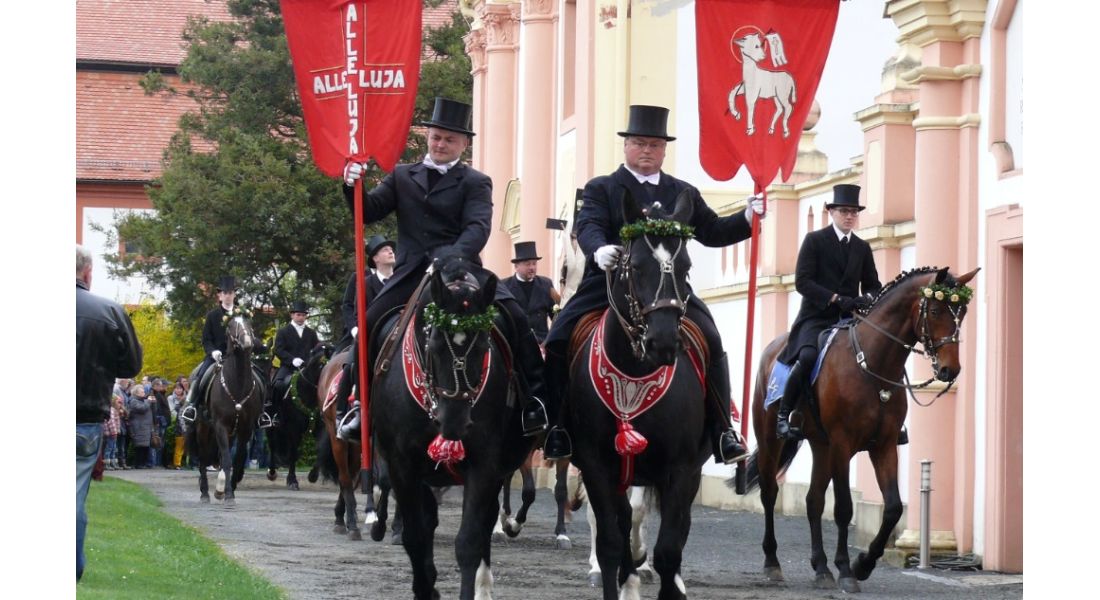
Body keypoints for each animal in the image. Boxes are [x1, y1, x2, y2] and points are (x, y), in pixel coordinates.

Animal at [186, 314, 267, 506]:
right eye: (231, 326)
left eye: (249, 325)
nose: (247, 343)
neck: (237, 384)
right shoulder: (220, 425)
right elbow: (228, 460)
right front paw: (228, 493)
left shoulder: (245, 428)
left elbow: (236, 459)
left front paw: (229, 487)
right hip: (203, 428)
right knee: (203, 458)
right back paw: (205, 493)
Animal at [265, 343, 331, 490]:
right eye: (322, 365)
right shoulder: (294, 430)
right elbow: (293, 454)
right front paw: (292, 480)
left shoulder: (320, 429)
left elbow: (320, 450)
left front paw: (313, 476)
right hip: (271, 426)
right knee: (272, 446)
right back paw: (271, 472)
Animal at [373, 257, 535, 599]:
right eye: (434, 343)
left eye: (484, 344)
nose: (455, 423)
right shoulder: (402, 466)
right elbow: (415, 536)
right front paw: (425, 588)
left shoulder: (484, 464)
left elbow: (469, 542)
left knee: (483, 522)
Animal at [566, 190, 713, 600]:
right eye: (634, 267)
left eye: (687, 267)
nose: (662, 342)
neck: (634, 373)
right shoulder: (597, 467)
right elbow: (610, 542)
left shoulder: (681, 470)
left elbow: (668, 550)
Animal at [736, 266, 979, 593]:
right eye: (936, 309)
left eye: (962, 311)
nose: (949, 370)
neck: (872, 364)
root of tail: (772, 351)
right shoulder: (843, 444)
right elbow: (843, 508)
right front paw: (846, 570)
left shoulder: (884, 445)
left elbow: (892, 508)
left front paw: (863, 563)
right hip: (772, 439)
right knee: (770, 492)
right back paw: (773, 563)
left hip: (821, 446)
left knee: (813, 500)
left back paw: (820, 567)